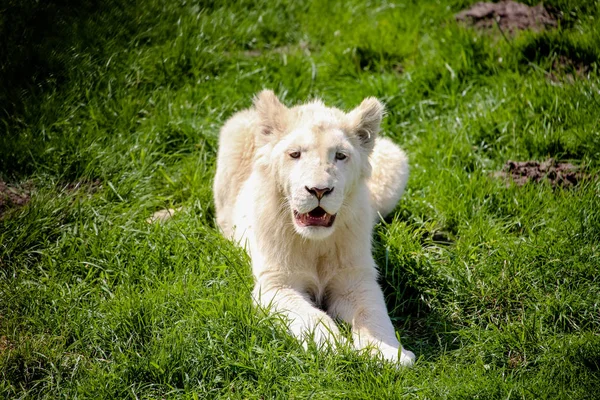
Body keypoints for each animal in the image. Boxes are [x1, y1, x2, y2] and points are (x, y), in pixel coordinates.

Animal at [213, 90, 414, 366]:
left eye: (340, 155)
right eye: (295, 154)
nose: (319, 190)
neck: (315, 244)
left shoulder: (355, 280)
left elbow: (372, 315)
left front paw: (390, 353)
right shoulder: (276, 286)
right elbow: (313, 317)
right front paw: (335, 348)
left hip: (395, 161)